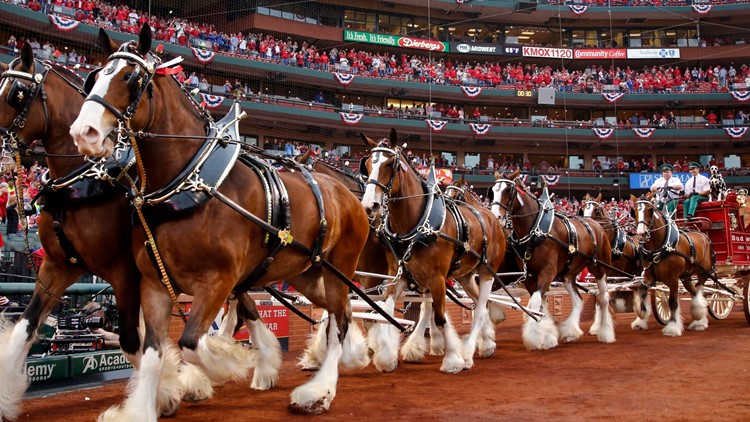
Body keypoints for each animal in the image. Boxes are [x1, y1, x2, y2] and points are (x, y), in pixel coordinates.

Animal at [70, 26, 370, 418]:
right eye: (93, 77)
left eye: (131, 78)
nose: (84, 131)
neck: (190, 182)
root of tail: (348, 193)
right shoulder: (154, 284)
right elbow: (153, 355)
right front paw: (149, 404)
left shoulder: (218, 281)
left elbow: (191, 342)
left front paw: (233, 363)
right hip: (305, 272)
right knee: (340, 312)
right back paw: (349, 358)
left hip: (340, 267)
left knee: (341, 321)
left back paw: (319, 391)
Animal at [362, 129, 508, 372]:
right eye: (366, 165)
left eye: (390, 164)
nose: (369, 205)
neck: (417, 226)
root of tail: (491, 217)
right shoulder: (398, 276)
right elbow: (386, 311)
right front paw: (386, 357)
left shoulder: (437, 279)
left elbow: (439, 318)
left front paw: (452, 359)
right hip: (466, 275)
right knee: (482, 303)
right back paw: (486, 343)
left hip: (487, 271)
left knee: (479, 310)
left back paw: (468, 353)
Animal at [490, 170, 612, 352]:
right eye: (493, 190)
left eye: (507, 190)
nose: (496, 216)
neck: (536, 230)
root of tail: (596, 225)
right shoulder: (530, 276)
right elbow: (539, 304)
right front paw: (547, 336)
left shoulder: (547, 272)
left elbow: (535, 302)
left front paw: (535, 337)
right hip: (568, 274)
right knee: (578, 300)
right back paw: (570, 332)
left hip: (599, 269)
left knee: (603, 298)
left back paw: (604, 332)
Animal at [580, 193, 648, 332]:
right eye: (583, 209)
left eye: (596, 210)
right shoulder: (601, 275)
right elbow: (600, 298)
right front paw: (597, 325)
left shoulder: (612, 276)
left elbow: (607, 297)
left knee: (644, 292)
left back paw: (641, 320)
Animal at [628, 195, 716, 336]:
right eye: (634, 211)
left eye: (650, 210)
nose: (641, 234)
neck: (660, 248)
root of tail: (704, 235)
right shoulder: (648, 276)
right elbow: (642, 291)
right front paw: (641, 318)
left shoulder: (673, 279)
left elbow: (673, 302)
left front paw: (673, 327)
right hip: (686, 276)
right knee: (694, 291)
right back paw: (699, 320)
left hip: (704, 272)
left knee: (699, 290)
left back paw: (699, 319)